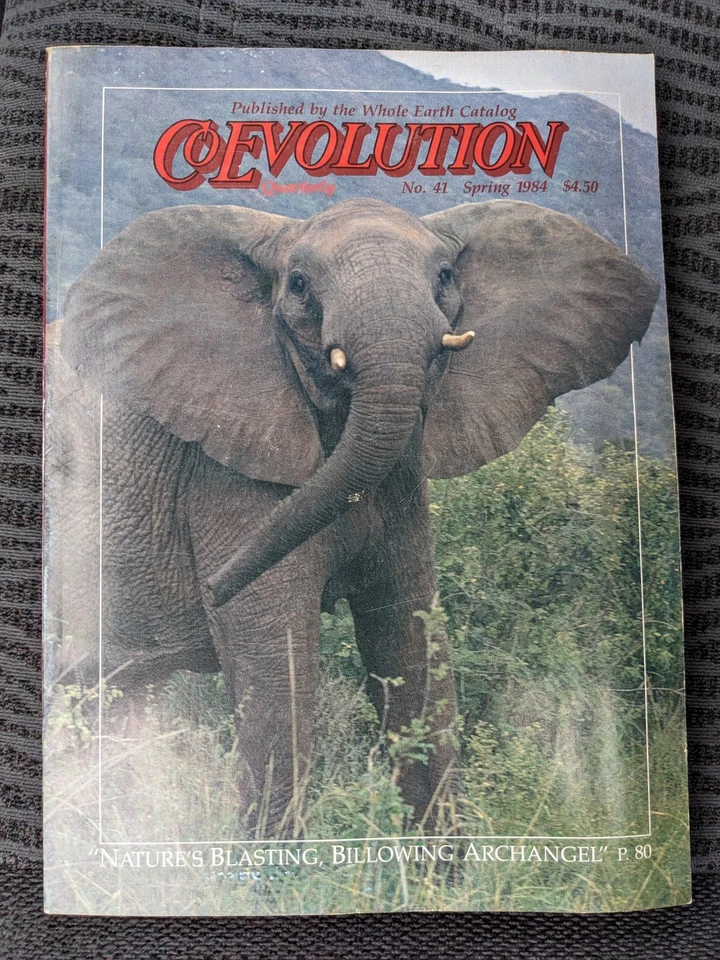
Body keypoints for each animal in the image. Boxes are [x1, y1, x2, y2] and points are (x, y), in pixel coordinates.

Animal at [45, 197, 659, 836]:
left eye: (445, 276)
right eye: (298, 284)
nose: (211, 587)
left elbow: (411, 645)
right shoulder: (226, 475)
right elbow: (280, 671)